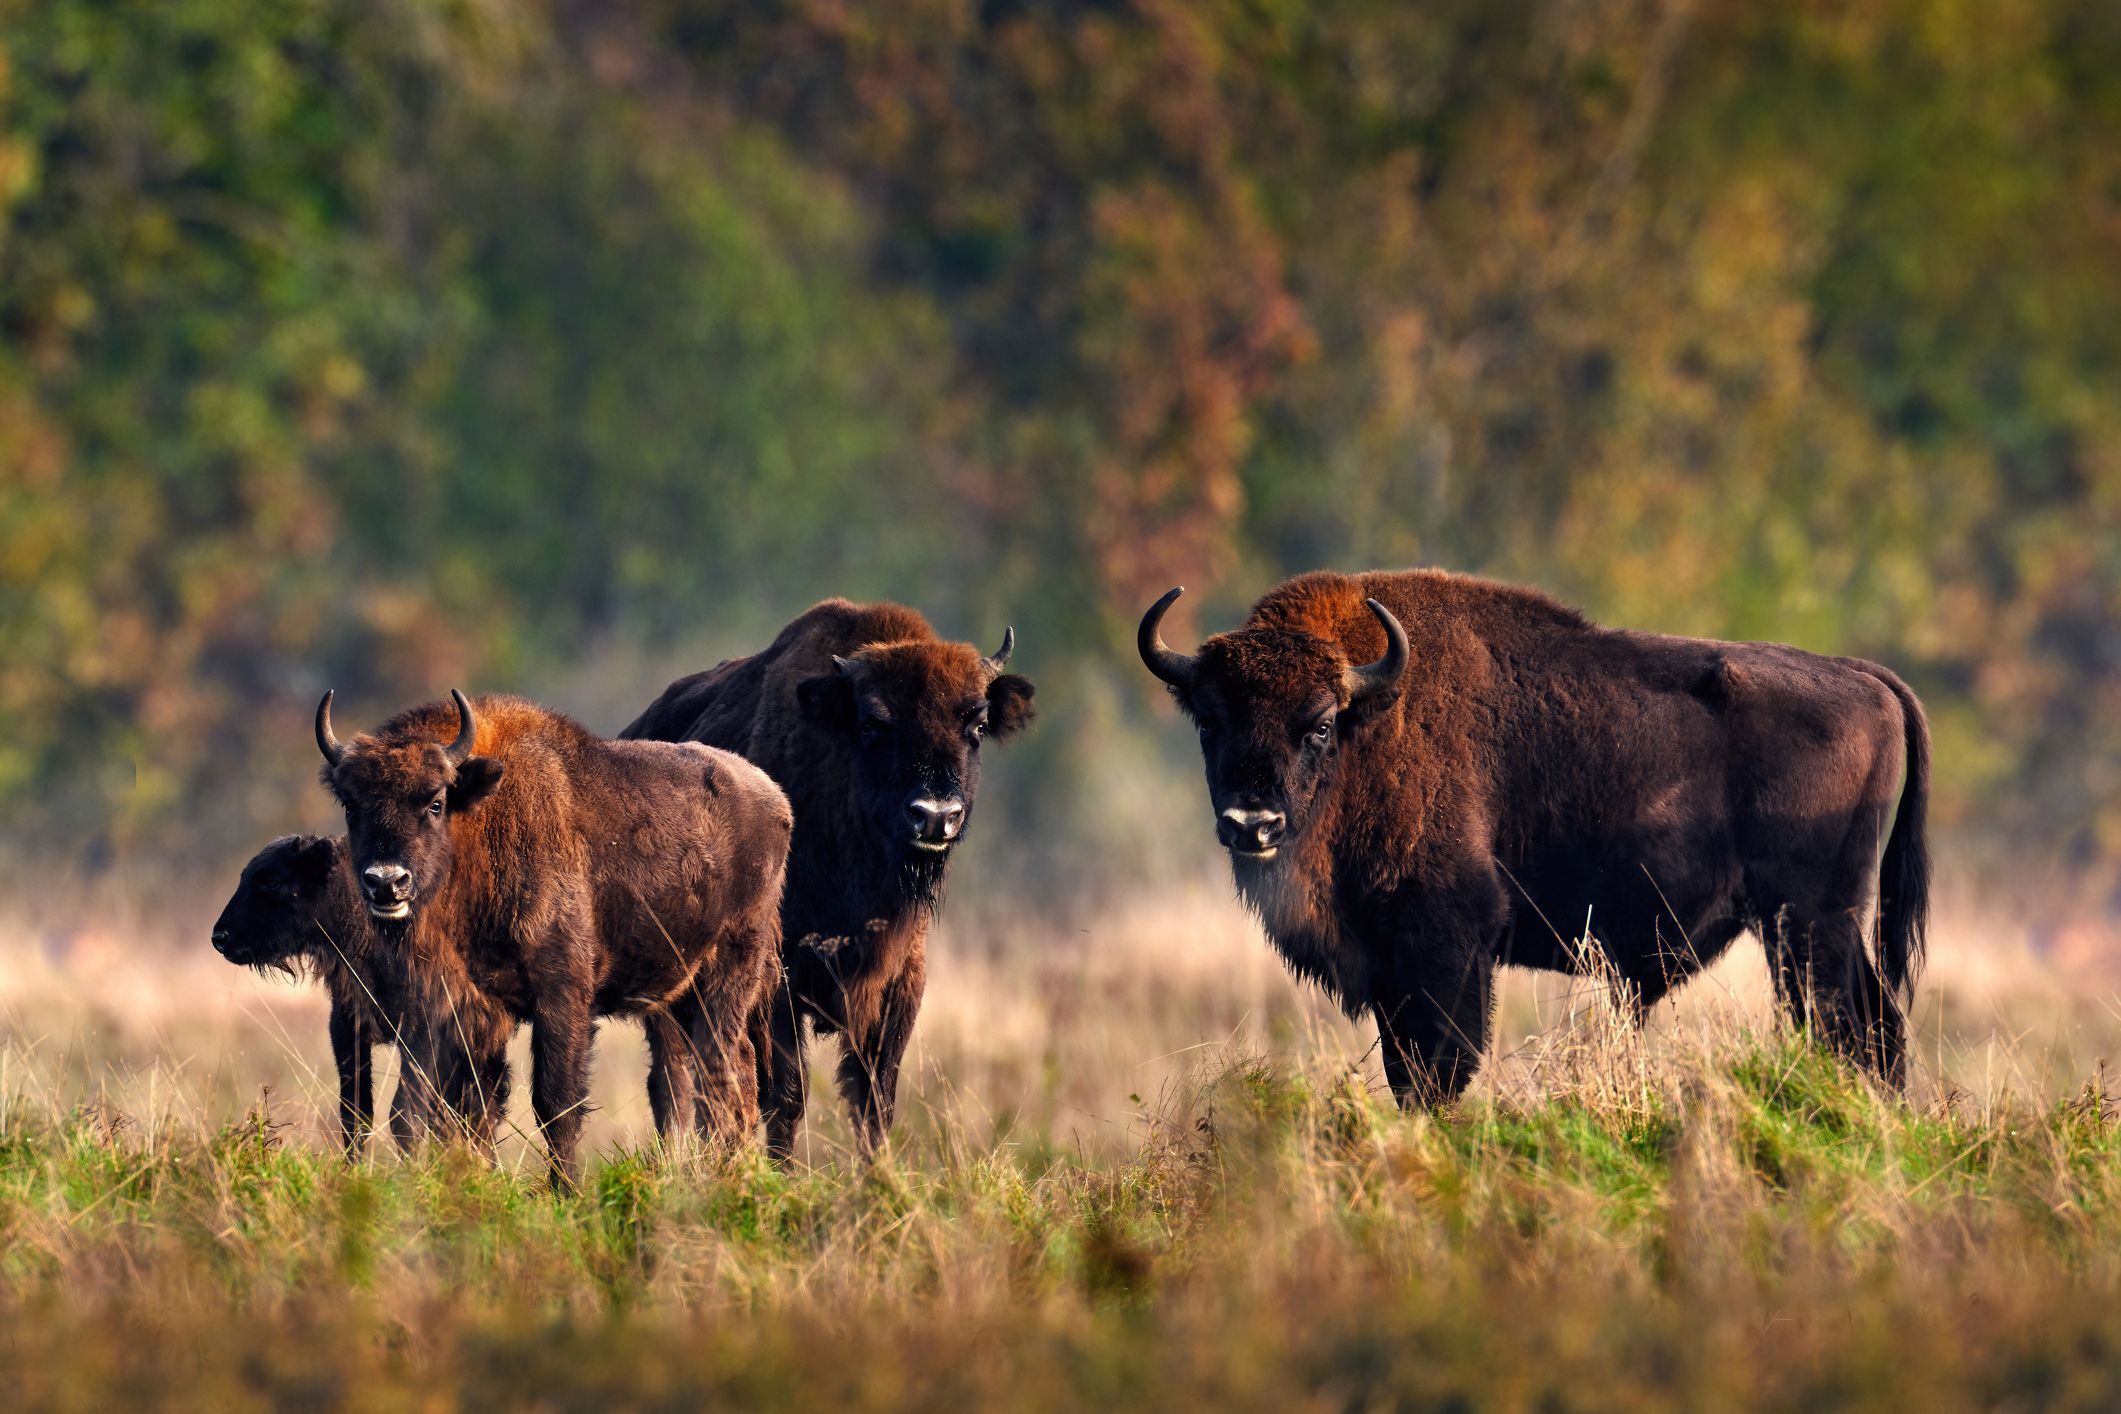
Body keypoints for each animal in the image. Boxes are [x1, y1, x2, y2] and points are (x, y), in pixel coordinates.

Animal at [315, 689, 793, 1183]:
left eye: (435, 802)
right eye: (351, 806)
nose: (386, 882)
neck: (483, 822)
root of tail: (775, 800)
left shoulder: (561, 996)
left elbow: (554, 1104)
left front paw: (566, 1189)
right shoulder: (464, 1007)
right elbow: (462, 1106)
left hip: (728, 977)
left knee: (721, 1074)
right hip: (678, 996)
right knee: (726, 1074)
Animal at [621, 600, 1036, 1159]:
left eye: (977, 723)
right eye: (873, 723)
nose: (934, 816)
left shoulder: (899, 981)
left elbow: (874, 1099)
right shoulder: (781, 981)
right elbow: (786, 1094)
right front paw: (781, 1171)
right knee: (673, 1083)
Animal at [1136, 569, 1930, 1103]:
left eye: (1320, 725)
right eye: (1208, 723)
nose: (1253, 825)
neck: (1374, 716)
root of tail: (1863, 678)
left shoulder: (1447, 944)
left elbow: (1438, 1070)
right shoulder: (1390, 963)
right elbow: (1404, 1069)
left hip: (1809, 927)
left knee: (1848, 1030)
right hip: (1822, 930)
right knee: (1876, 1032)